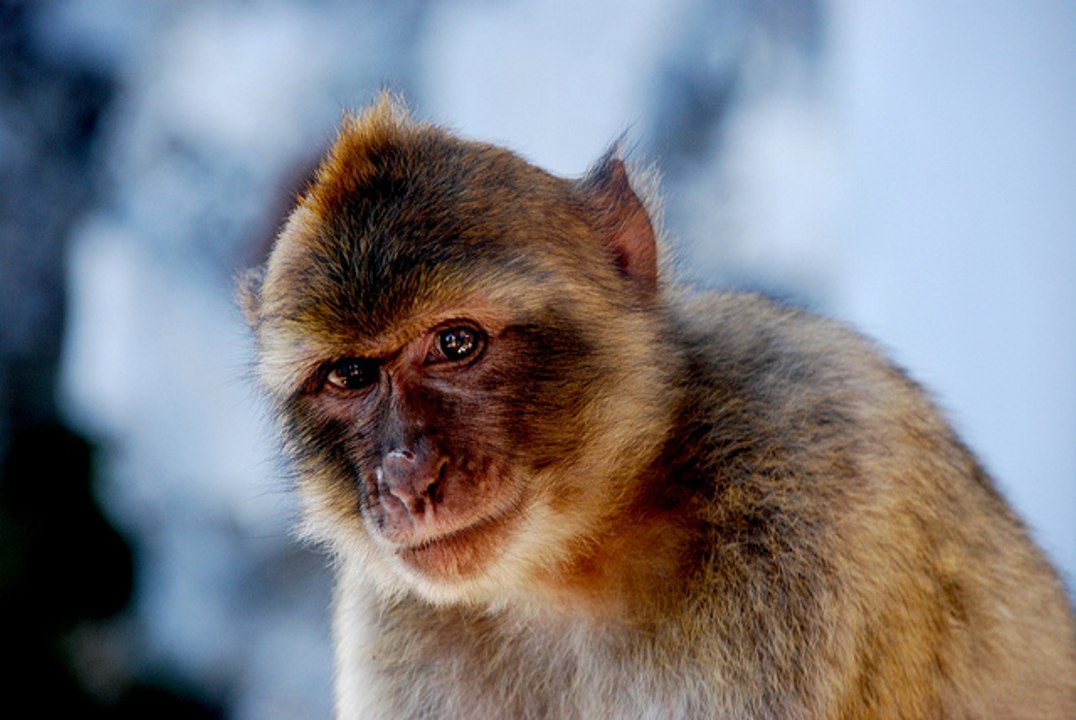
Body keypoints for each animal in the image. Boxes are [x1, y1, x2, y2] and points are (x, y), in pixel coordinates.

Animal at [239, 93, 1076, 719]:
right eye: (350, 375)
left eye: (455, 343)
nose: (406, 478)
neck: (583, 557)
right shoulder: (392, 625)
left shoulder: (822, 476)